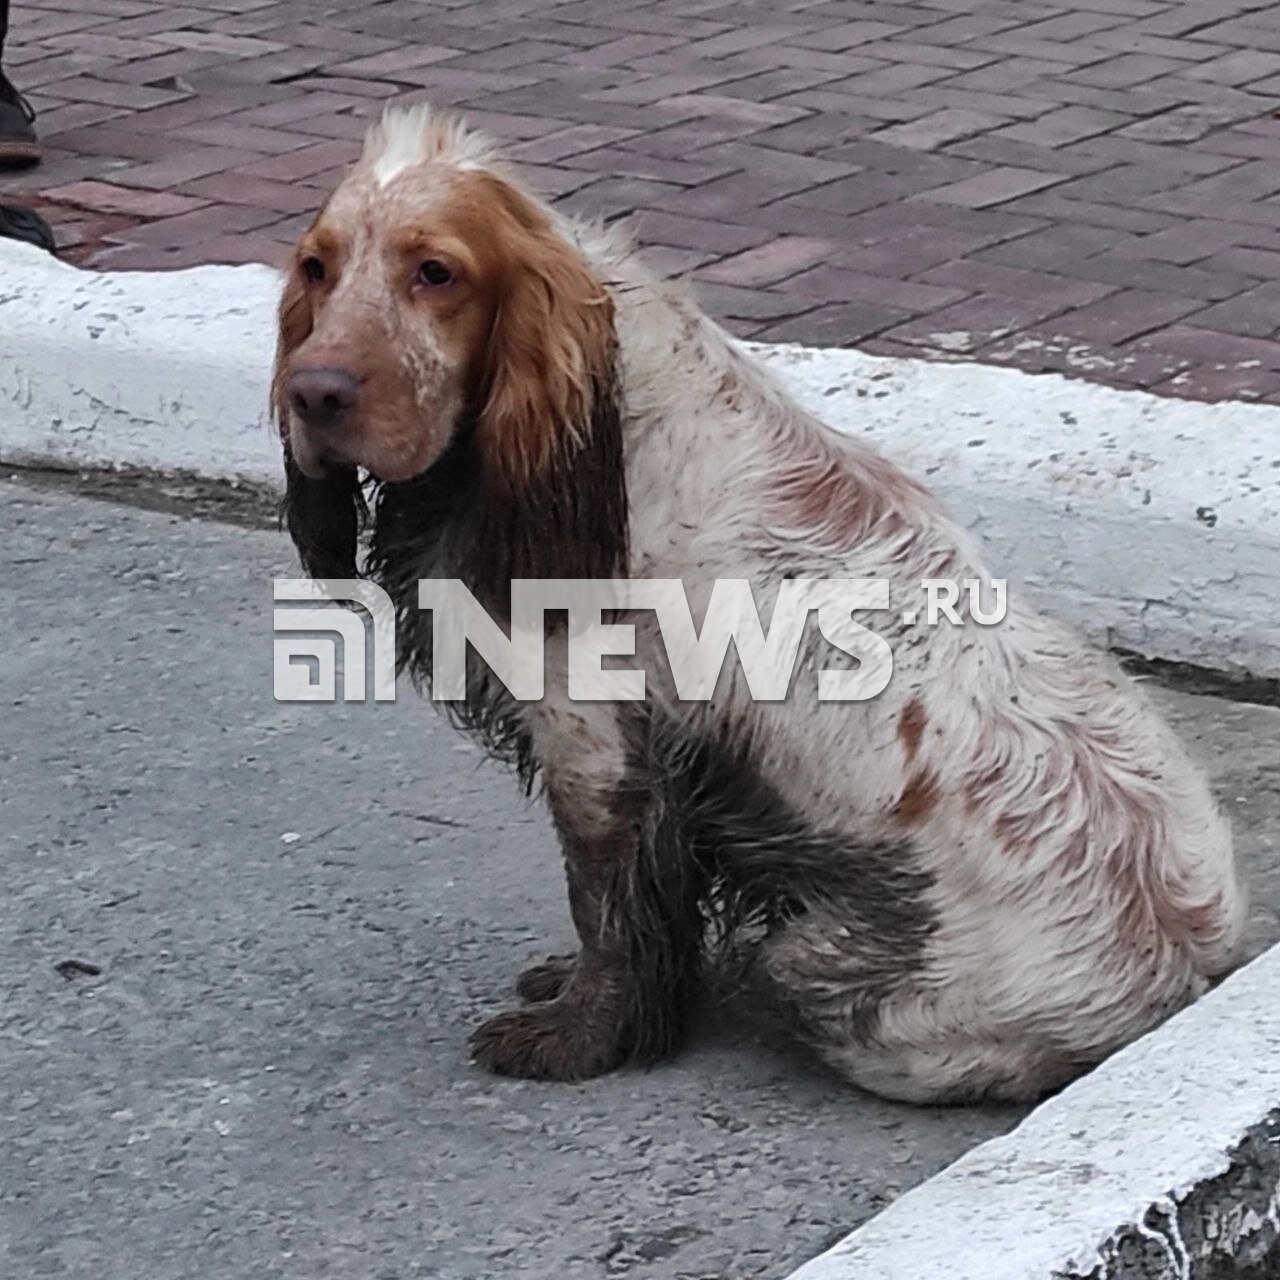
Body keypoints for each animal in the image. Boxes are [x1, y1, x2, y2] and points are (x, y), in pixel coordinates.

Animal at [275, 102, 1244, 1100]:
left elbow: (606, 907)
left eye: (436, 272)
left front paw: (579, 1038)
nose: (313, 393)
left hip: (816, 970)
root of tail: (1184, 971)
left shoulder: (591, 735)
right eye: (317, 267)